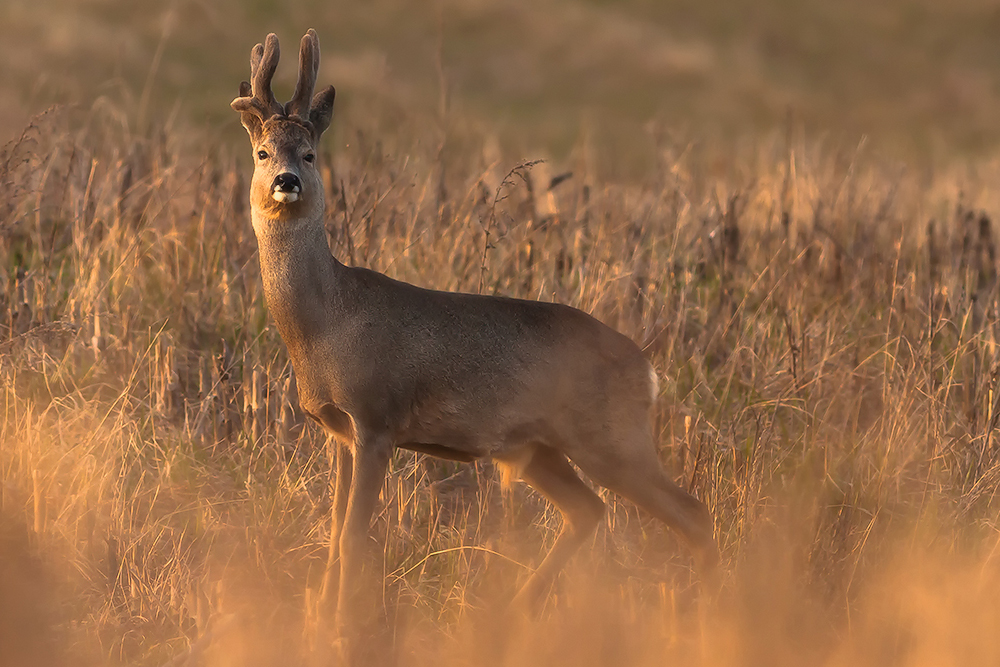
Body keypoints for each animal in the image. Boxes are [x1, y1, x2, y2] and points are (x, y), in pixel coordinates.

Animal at [232, 30, 720, 648]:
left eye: (310, 154)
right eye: (263, 152)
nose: (286, 181)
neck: (324, 325)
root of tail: (647, 369)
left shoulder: (377, 417)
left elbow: (354, 536)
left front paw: (345, 631)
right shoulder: (337, 431)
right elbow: (334, 532)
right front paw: (318, 623)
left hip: (611, 436)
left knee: (691, 514)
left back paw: (706, 625)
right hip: (538, 448)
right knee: (589, 510)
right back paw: (510, 616)